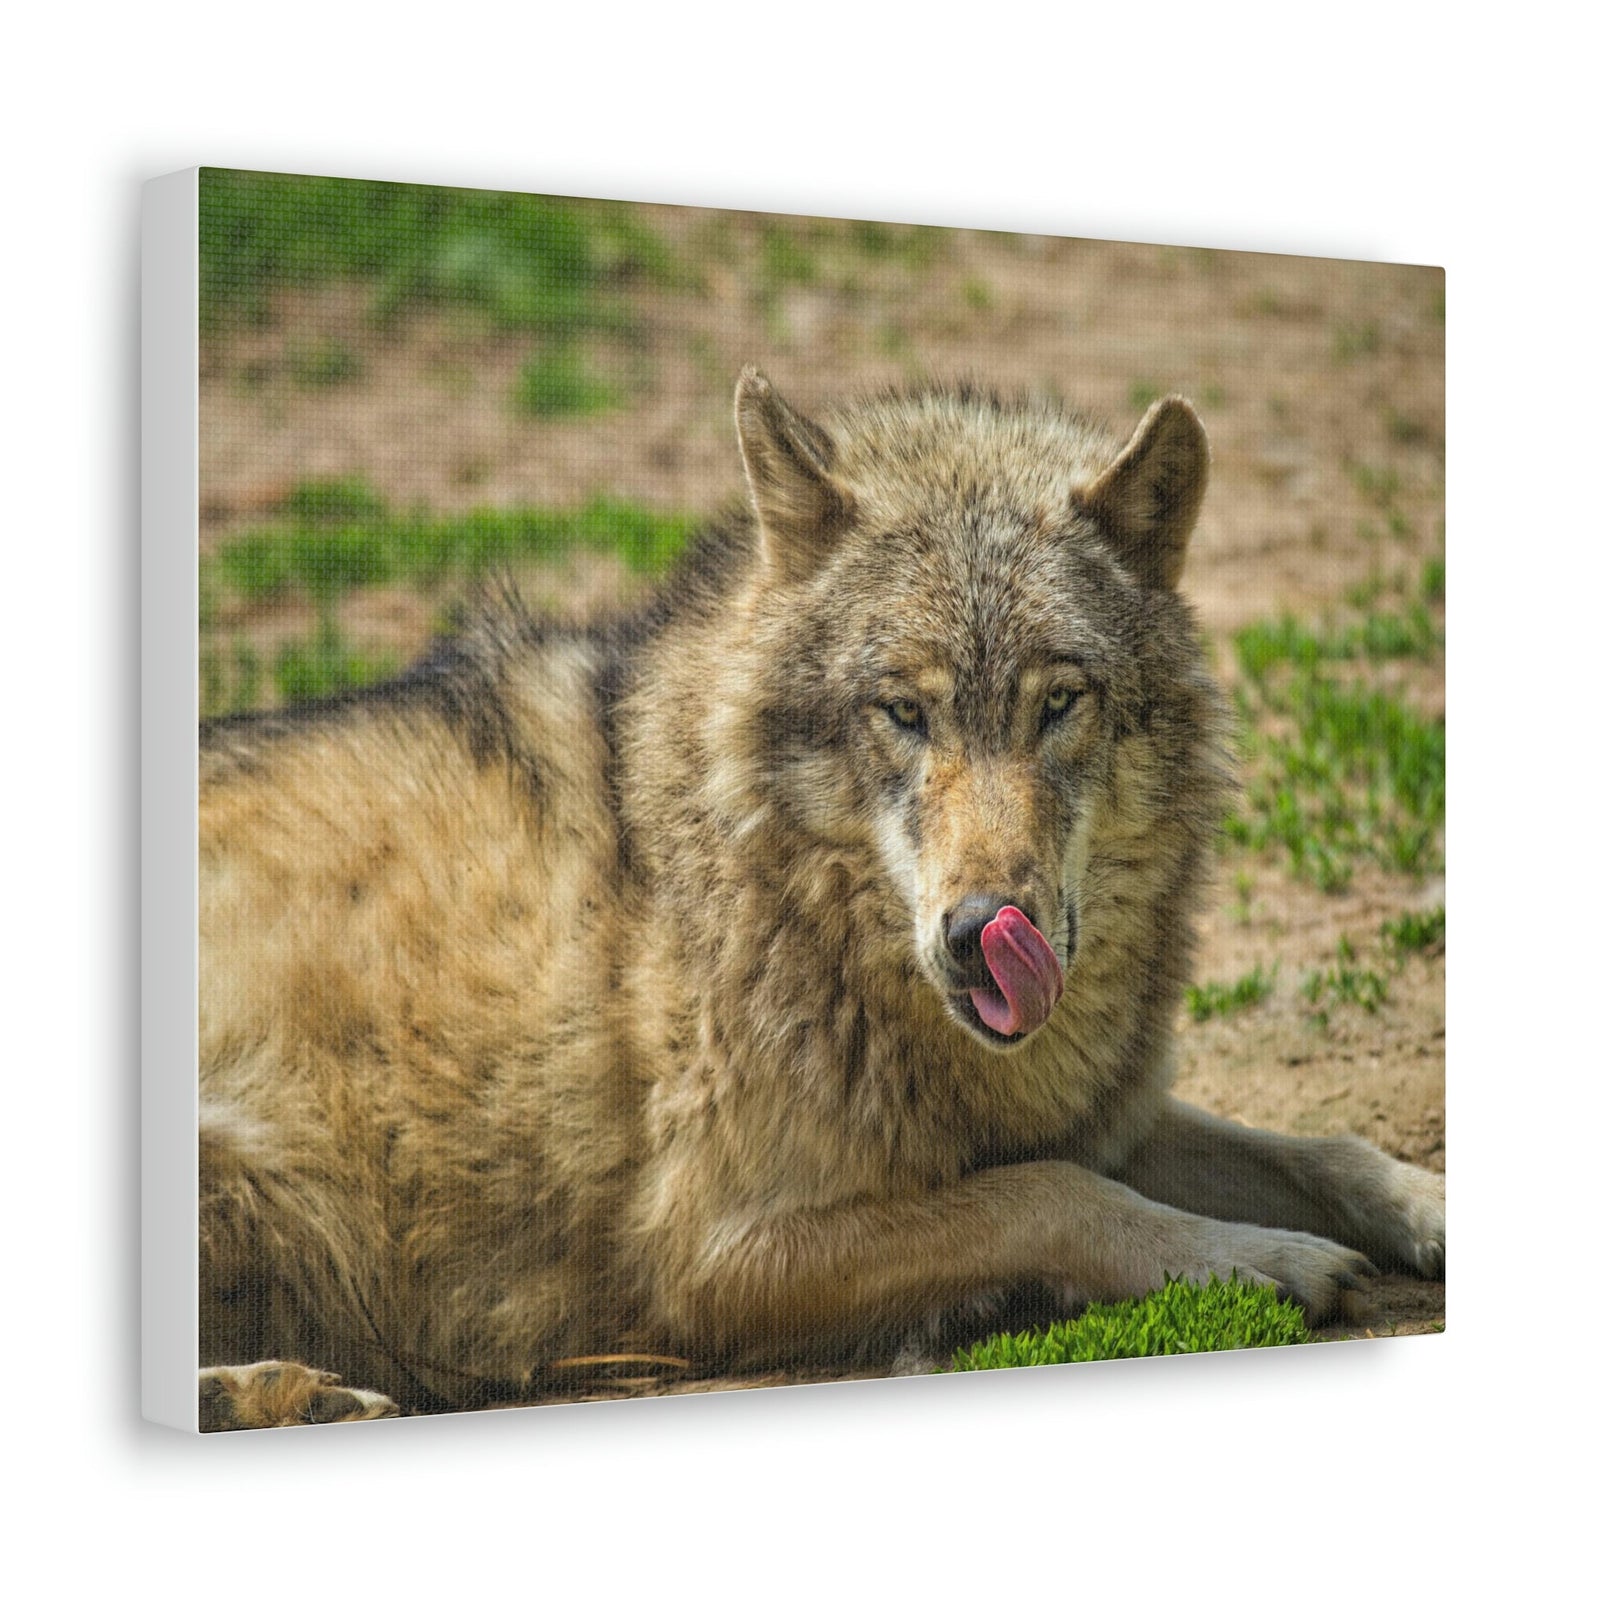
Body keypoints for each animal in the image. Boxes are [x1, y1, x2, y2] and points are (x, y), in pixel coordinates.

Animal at [196, 370, 1444, 1427]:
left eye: (1058, 703)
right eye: (904, 712)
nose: (982, 935)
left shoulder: (1105, 1115)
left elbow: (1327, 1150)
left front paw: (1423, 1210)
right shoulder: (709, 1255)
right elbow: (1048, 1195)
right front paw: (1264, 1261)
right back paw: (281, 1395)